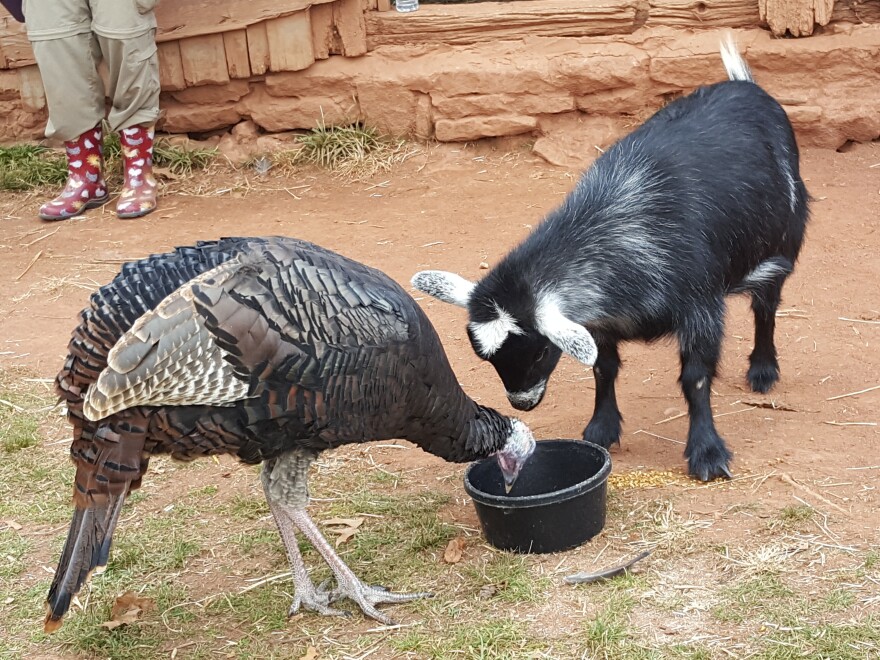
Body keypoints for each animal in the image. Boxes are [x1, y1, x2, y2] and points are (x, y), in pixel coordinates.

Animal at [412, 38, 812, 480]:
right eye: (485, 356)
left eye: (540, 350)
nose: (522, 402)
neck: (616, 227)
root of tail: (744, 85)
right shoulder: (599, 322)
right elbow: (604, 367)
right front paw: (601, 429)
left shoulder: (701, 307)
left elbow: (695, 378)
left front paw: (707, 453)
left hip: (783, 241)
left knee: (767, 304)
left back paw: (763, 369)